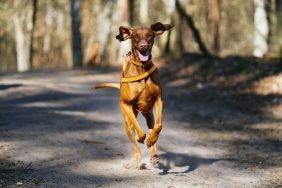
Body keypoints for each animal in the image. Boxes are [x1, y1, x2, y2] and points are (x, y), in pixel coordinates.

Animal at [96, 22, 173, 167]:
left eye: (149, 35)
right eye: (136, 36)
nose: (143, 46)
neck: (141, 68)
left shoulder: (159, 99)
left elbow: (159, 125)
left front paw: (151, 140)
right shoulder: (125, 104)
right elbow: (138, 129)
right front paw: (140, 137)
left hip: (149, 116)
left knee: (152, 127)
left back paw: (153, 153)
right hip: (127, 121)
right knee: (132, 135)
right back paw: (137, 159)